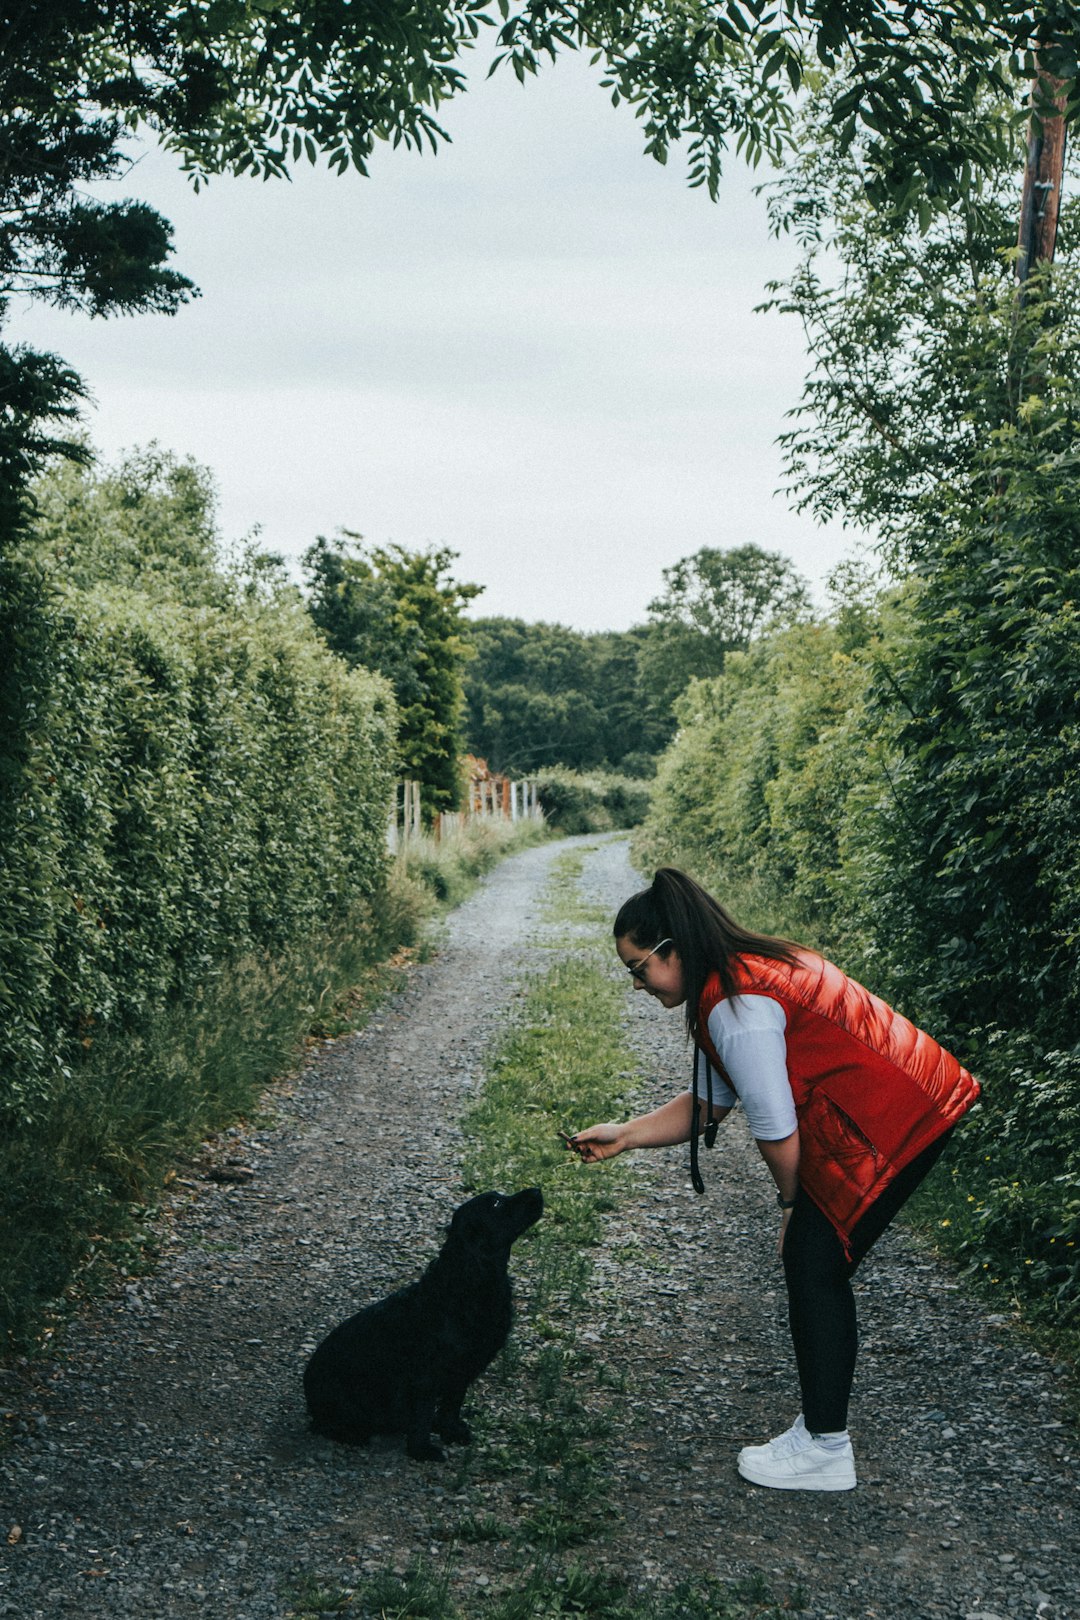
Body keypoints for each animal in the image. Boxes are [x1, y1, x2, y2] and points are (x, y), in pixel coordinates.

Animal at [302, 1185, 540, 1464]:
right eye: (496, 1204)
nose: (537, 1190)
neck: (467, 1286)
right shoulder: (426, 1377)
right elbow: (423, 1417)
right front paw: (422, 1450)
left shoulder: (461, 1372)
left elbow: (451, 1406)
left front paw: (450, 1431)